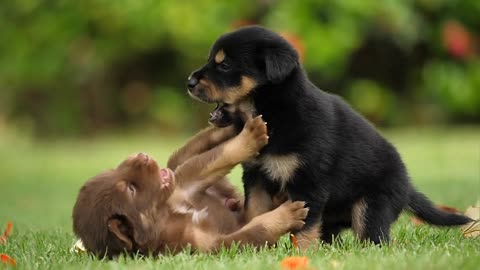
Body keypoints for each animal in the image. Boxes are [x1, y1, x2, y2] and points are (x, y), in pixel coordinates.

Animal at [73, 117, 310, 258]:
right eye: (131, 189)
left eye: (114, 169)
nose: (142, 155)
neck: (167, 215)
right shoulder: (210, 246)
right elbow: (255, 230)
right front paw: (288, 214)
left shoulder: (186, 186)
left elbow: (220, 155)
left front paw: (246, 135)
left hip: (178, 169)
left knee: (182, 156)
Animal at [186, 25, 470, 249]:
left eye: (224, 65)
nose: (189, 82)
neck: (274, 114)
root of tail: (407, 185)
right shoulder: (256, 177)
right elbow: (255, 212)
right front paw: (260, 245)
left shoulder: (308, 182)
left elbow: (303, 229)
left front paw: (302, 254)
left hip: (372, 206)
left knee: (374, 238)